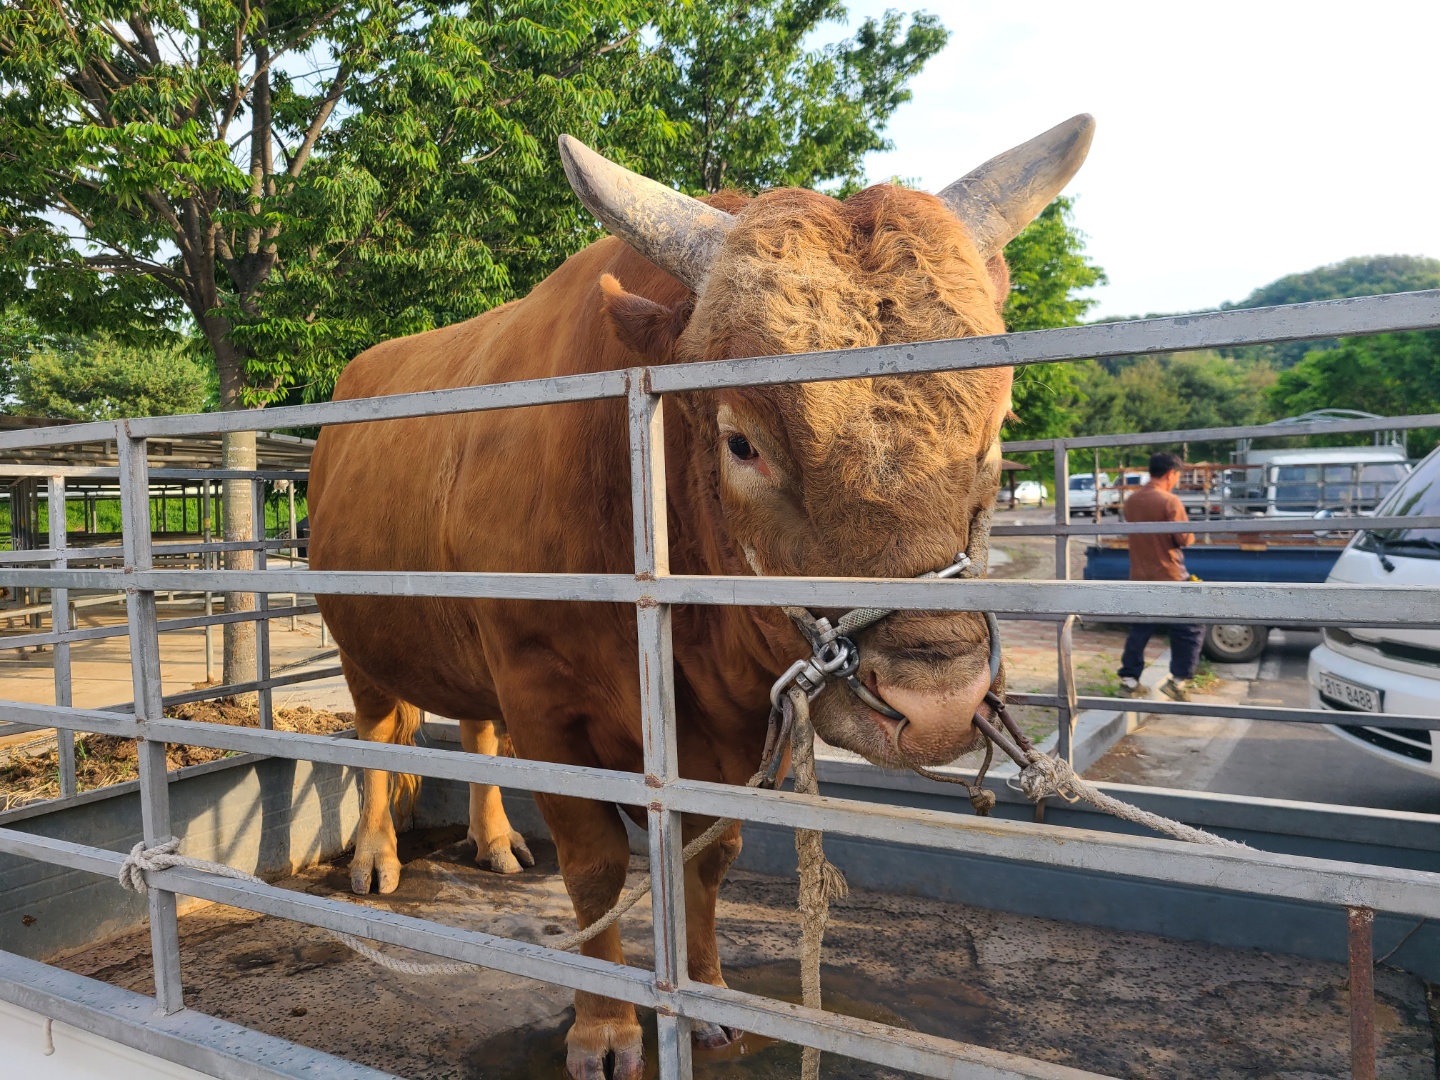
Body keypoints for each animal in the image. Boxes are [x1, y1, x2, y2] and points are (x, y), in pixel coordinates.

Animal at [306, 114, 1088, 1077]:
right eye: (740, 441)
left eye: (994, 431)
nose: (937, 700)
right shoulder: (545, 702)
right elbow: (596, 866)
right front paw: (604, 1028)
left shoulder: (728, 725)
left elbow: (706, 854)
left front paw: (709, 997)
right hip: (361, 648)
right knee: (378, 741)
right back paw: (375, 859)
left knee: (479, 738)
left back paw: (493, 842)